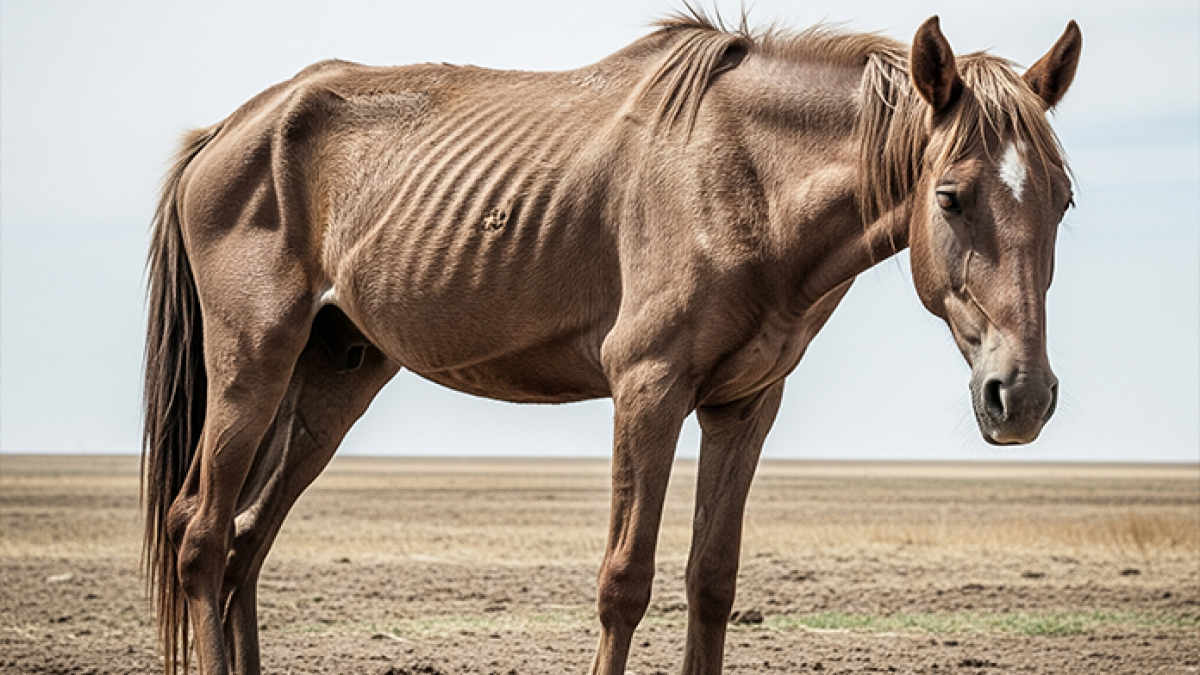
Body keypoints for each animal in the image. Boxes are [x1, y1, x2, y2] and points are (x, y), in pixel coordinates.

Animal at [142, 11, 1081, 675]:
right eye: (951, 196)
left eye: (1064, 199)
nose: (1023, 396)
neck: (746, 181)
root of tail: (227, 132)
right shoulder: (648, 391)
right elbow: (625, 581)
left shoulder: (744, 406)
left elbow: (712, 581)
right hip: (252, 365)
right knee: (201, 533)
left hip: (332, 375)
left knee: (246, 541)